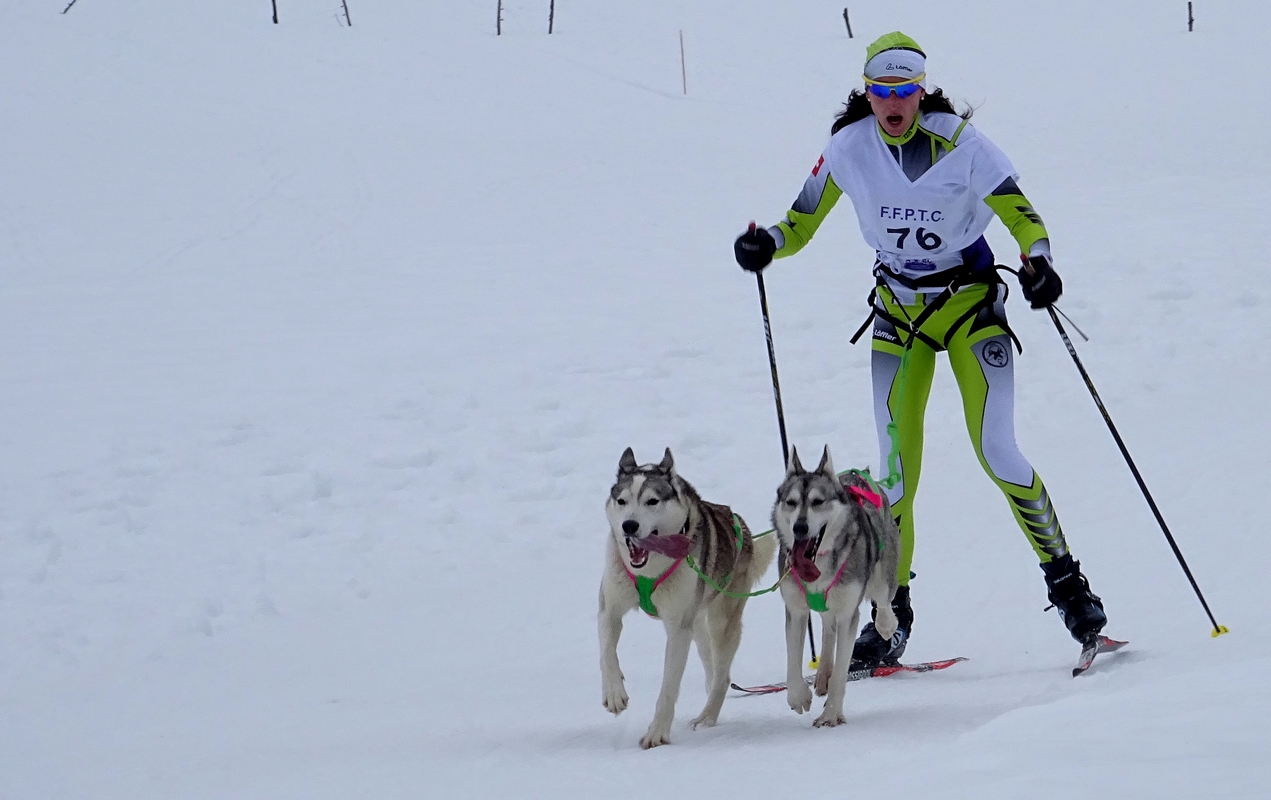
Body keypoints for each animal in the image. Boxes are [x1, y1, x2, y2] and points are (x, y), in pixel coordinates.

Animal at [598, 447, 776, 749]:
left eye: (652, 501)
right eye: (622, 501)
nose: (628, 526)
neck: (649, 569)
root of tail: (742, 528)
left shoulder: (678, 630)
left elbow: (668, 687)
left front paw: (657, 732)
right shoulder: (609, 609)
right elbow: (606, 653)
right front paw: (614, 693)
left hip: (721, 621)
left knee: (722, 676)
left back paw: (707, 716)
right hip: (699, 625)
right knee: (712, 667)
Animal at [772, 445, 900, 727]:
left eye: (818, 502)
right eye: (791, 502)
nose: (800, 527)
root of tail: (858, 474)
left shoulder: (848, 613)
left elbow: (842, 670)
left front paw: (830, 714)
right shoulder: (796, 610)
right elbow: (792, 663)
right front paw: (799, 697)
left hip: (882, 572)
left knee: (883, 600)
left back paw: (886, 625)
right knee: (828, 629)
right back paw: (822, 677)